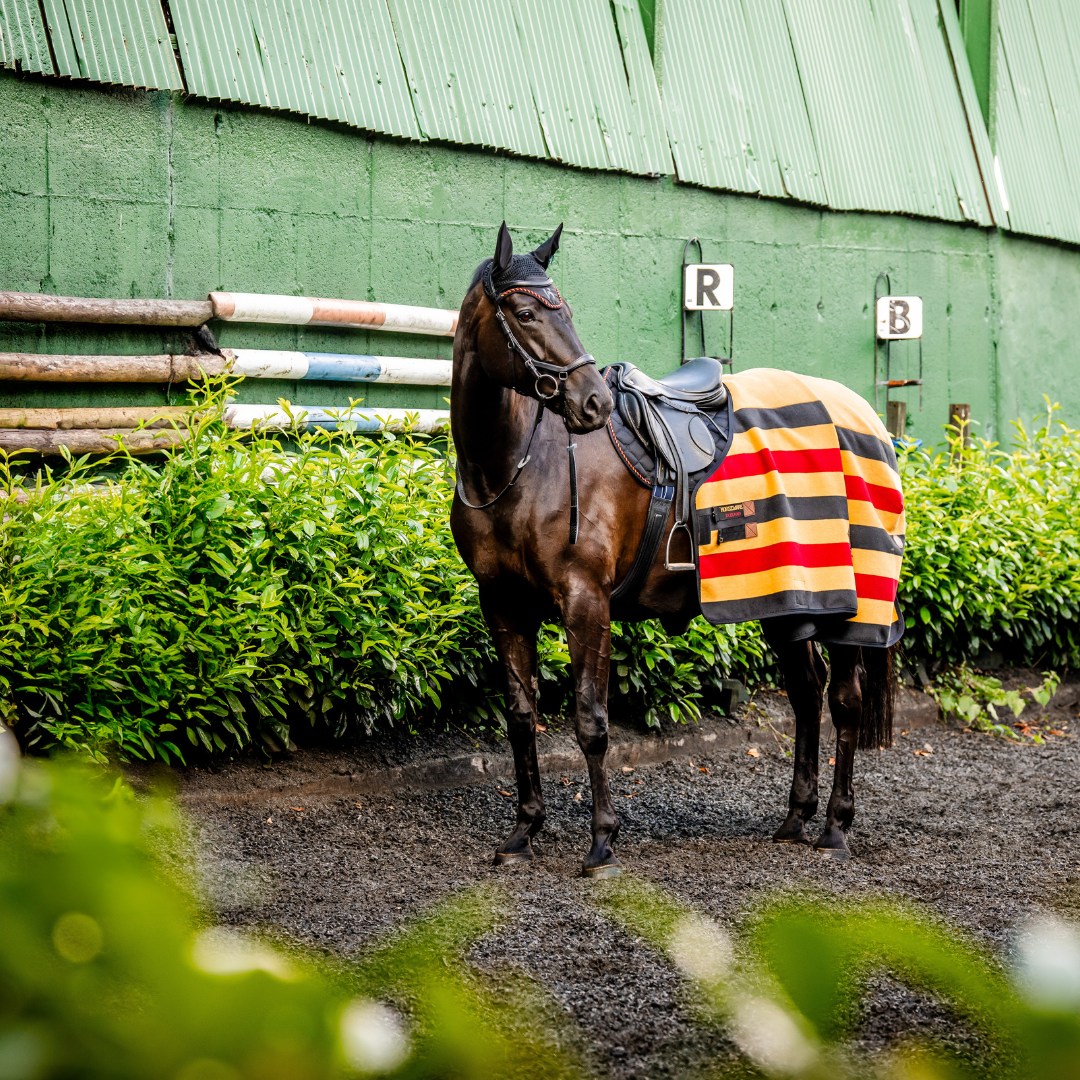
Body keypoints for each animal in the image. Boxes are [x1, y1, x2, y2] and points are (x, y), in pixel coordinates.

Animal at [450, 223, 899, 876]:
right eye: (527, 311)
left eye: (566, 309)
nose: (593, 402)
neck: (516, 467)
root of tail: (863, 415)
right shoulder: (503, 605)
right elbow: (520, 715)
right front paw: (523, 831)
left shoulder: (586, 603)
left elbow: (591, 721)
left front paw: (602, 841)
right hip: (787, 602)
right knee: (805, 692)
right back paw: (796, 817)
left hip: (849, 601)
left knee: (843, 699)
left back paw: (836, 827)